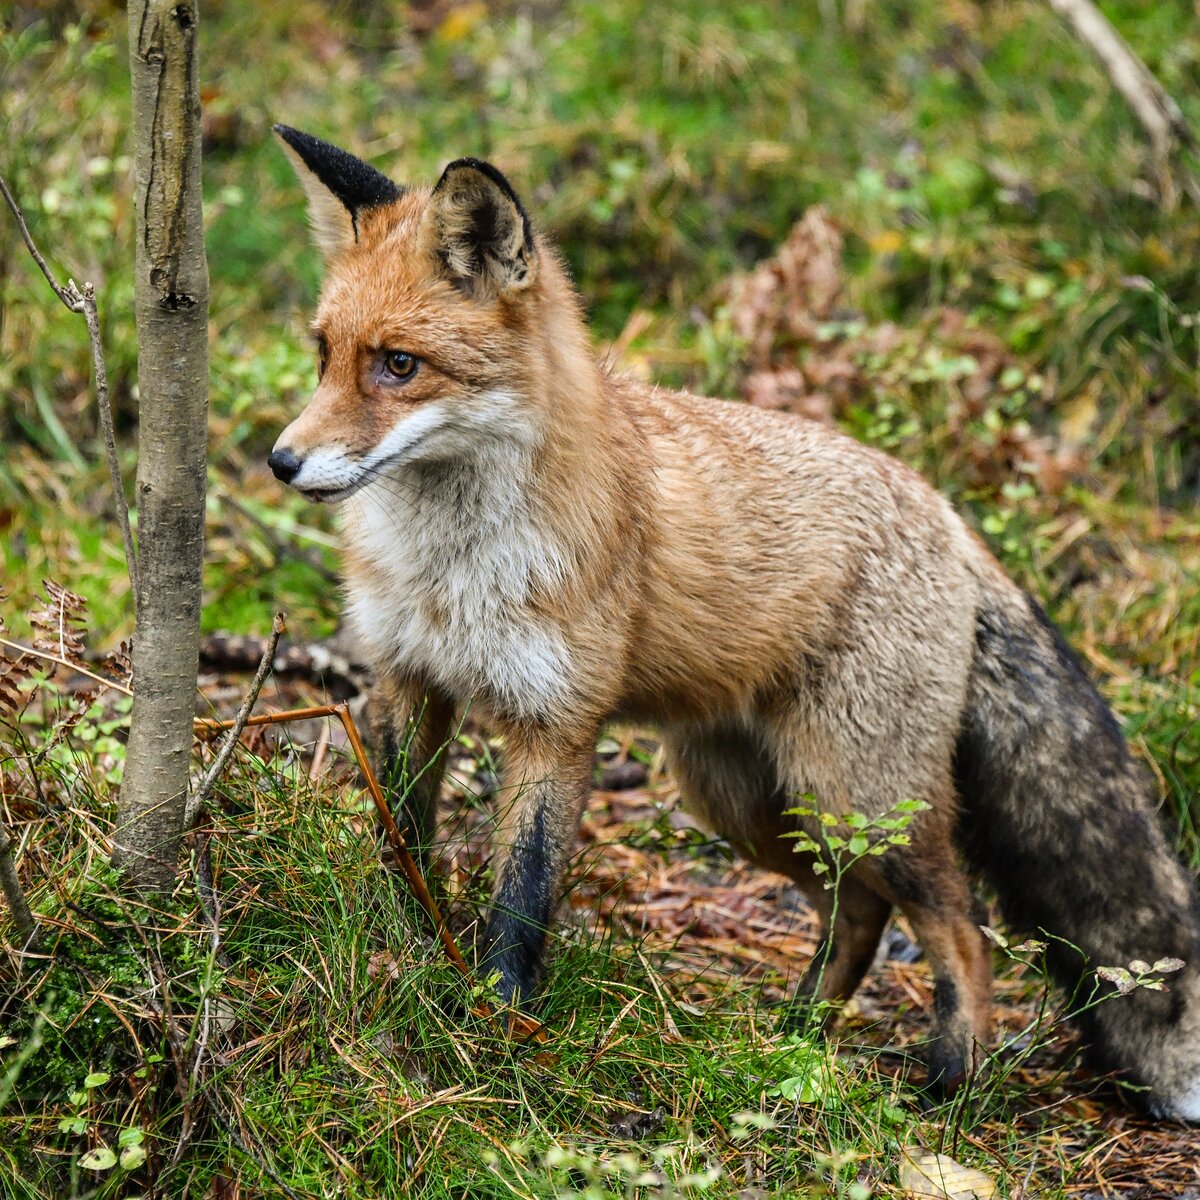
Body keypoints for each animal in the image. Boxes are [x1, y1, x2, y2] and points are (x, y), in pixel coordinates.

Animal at [267, 126, 1200, 1118]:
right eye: (324, 354)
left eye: (398, 365)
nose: (281, 461)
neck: (451, 571)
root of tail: (947, 512)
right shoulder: (410, 679)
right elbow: (401, 839)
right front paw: (398, 945)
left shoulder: (556, 724)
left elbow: (522, 898)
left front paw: (497, 1026)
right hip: (745, 799)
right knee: (856, 911)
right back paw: (796, 1038)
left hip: (859, 795)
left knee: (962, 922)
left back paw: (951, 1074)